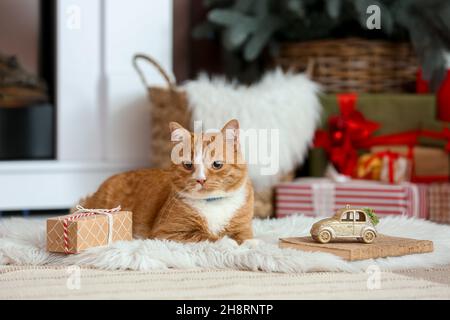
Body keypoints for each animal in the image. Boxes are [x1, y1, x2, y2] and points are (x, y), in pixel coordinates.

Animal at [80, 119, 253, 242]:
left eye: (217, 164)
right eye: (188, 165)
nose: (200, 180)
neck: (212, 203)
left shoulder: (243, 228)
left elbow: (245, 238)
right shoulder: (167, 232)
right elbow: (207, 237)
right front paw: (228, 242)